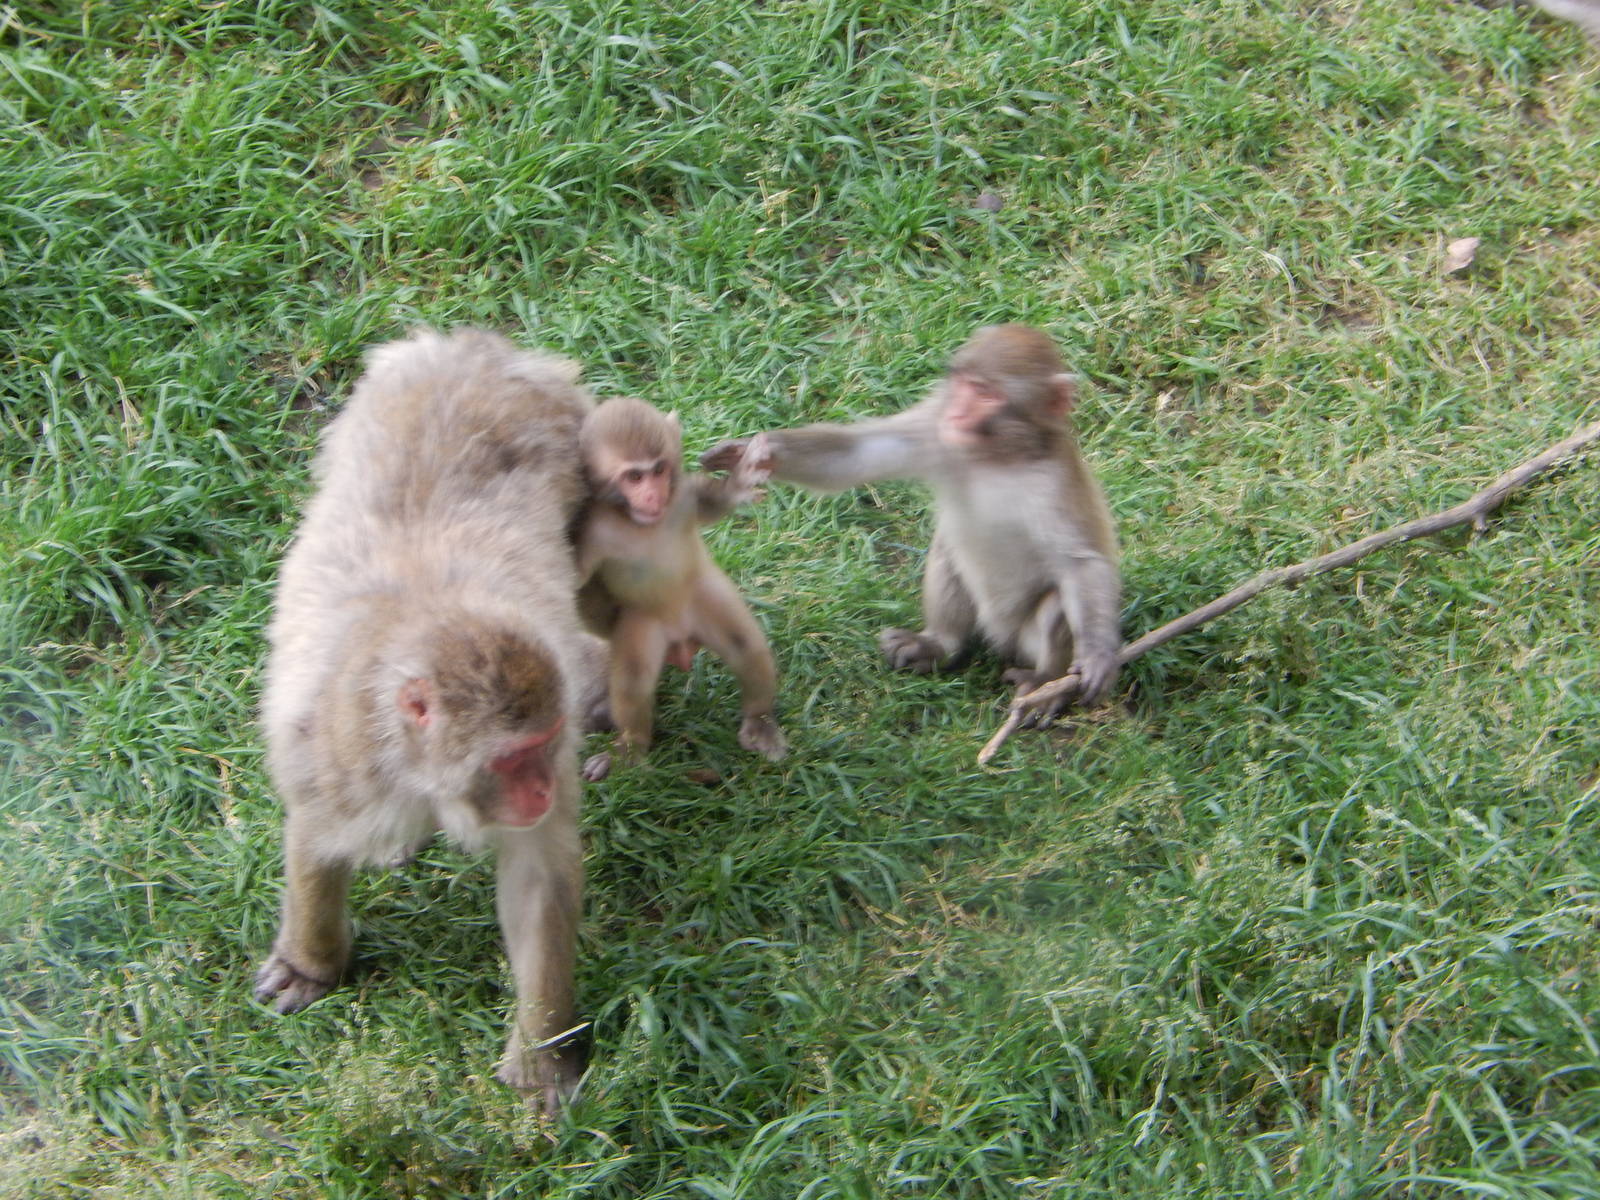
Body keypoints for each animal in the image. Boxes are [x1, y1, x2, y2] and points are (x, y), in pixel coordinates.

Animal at [255, 327, 602, 1115]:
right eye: (512, 758)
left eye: (544, 746)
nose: (540, 791)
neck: (426, 771)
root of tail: (469, 350)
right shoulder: (339, 751)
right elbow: (317, 836)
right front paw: (312, 961)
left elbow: (538, 878)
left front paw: (540, 1055)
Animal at [575, 396, 787, 780]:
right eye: (634, 476)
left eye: (659, 469)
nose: (652, 494)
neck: (640, 523)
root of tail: (682, 640)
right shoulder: (592, 531)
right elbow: (577, 577)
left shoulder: (683, 496)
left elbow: (712, 506)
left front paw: (737, 482)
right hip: (642, 625)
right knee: (633, 680)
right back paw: (630, 749)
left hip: (703, 600)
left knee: (745, 646)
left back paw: (759, 720)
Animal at [701, 324, 1120, 717]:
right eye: (964, 384)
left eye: (987, 394)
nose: (957, 414)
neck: (998, 457)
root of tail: (1003, 640)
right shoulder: (935, 428)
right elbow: (857, 454)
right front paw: (750, 452)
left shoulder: (1053, 484)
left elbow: (1082, 563)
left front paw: (1098, 654)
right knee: (949, 552)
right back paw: (938, 645)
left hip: (1024, 636)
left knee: (1055, 602)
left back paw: (1046, 682)